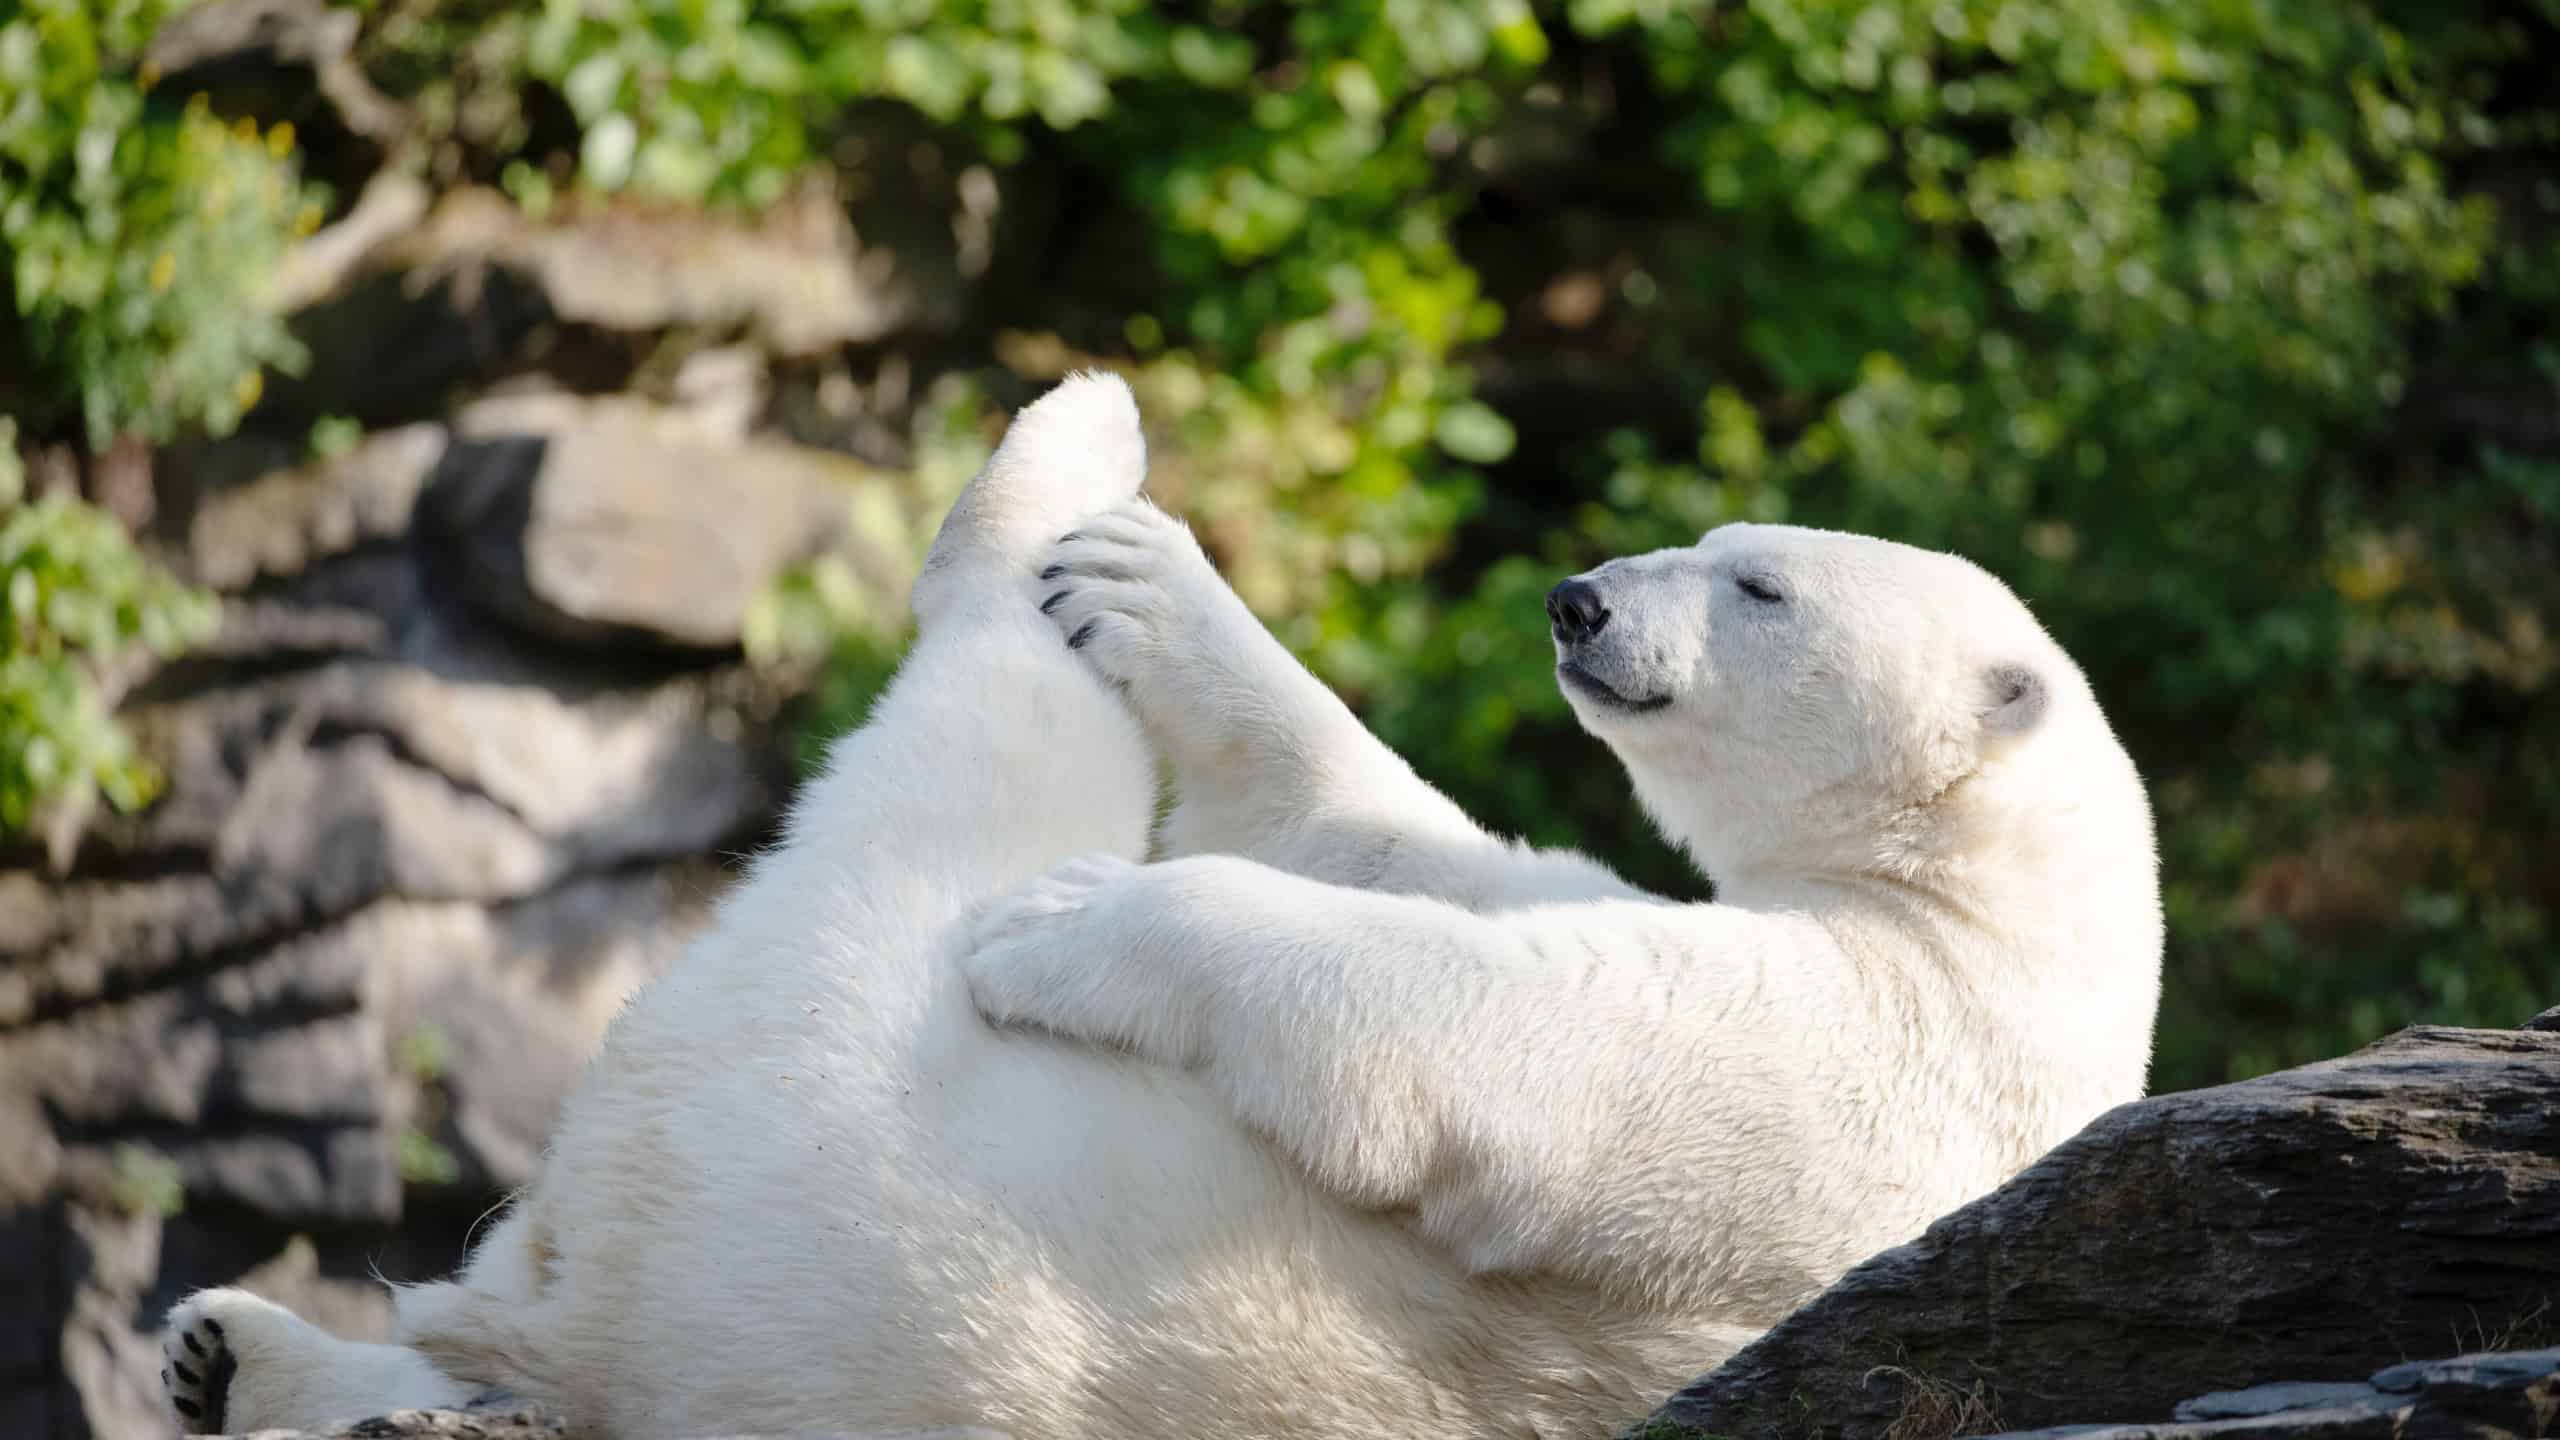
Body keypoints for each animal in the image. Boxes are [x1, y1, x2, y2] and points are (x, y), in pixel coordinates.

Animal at [160, 373, 2161, 1440]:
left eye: (1757, 584)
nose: (1582, 600)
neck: (1978, 930)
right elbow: (1402, 837)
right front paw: (1151, 590)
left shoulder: (1859, 1076)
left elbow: (1525, 1033)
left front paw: (1062, 930)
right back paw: (229, 1349)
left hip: (819, 1113)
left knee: (962, 764)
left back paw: (1056, 459)